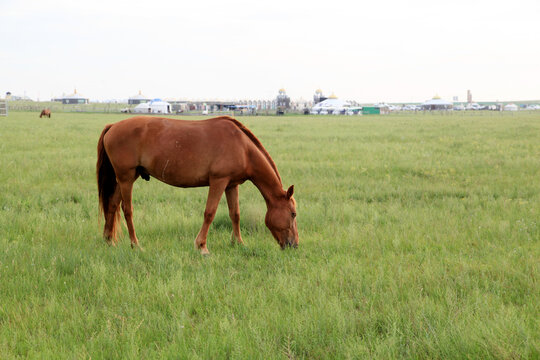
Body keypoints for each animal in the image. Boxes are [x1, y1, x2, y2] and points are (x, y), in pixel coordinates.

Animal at [97, 115, 300, 253]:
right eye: (293, 214)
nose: (294, 245)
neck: (242, 147)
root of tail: (112, 126)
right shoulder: (218, 181)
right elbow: (209, 213)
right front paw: (201, 246)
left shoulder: (231, 185)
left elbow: (235, 214)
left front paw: (239, 243)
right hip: (126, 178)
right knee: (127, 210)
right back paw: (135, 244)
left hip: (124, 178)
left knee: (112, 205)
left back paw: (108, 241)